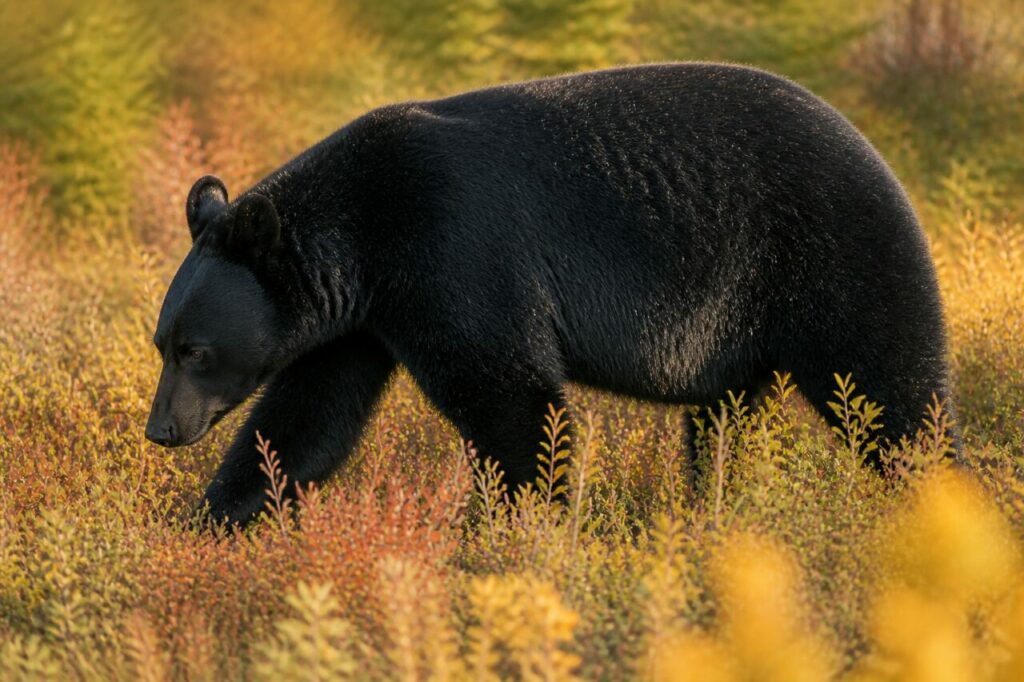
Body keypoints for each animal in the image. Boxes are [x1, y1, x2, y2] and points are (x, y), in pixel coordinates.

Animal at [145, 63, 956, 526]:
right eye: (162, 343)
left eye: (196, 350)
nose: (161, 429)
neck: (369, 230)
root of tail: (879, 155)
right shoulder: (362, 319)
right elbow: (304, 420)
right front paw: (205, 521)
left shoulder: (454, 252)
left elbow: (514, 398)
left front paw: (514, 527)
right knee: (725, 423)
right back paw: (713, 509)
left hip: (835, 257)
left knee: (895, 390)